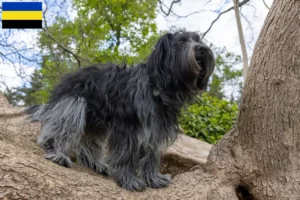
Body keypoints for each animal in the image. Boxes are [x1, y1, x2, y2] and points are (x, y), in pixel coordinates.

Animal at [24, 30, 214, 191]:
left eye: (198, 39)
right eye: (181, 41)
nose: (202, 49)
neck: (158, 87)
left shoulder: (155, 129)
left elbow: (151, 157)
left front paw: (154, 179)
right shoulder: (128, 127)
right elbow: (126, 156)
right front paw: (128, 180)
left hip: (95, 120)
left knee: (88, 142)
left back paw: (95, 164)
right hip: (73, 105)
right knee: (59, 130)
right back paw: (58, 153)